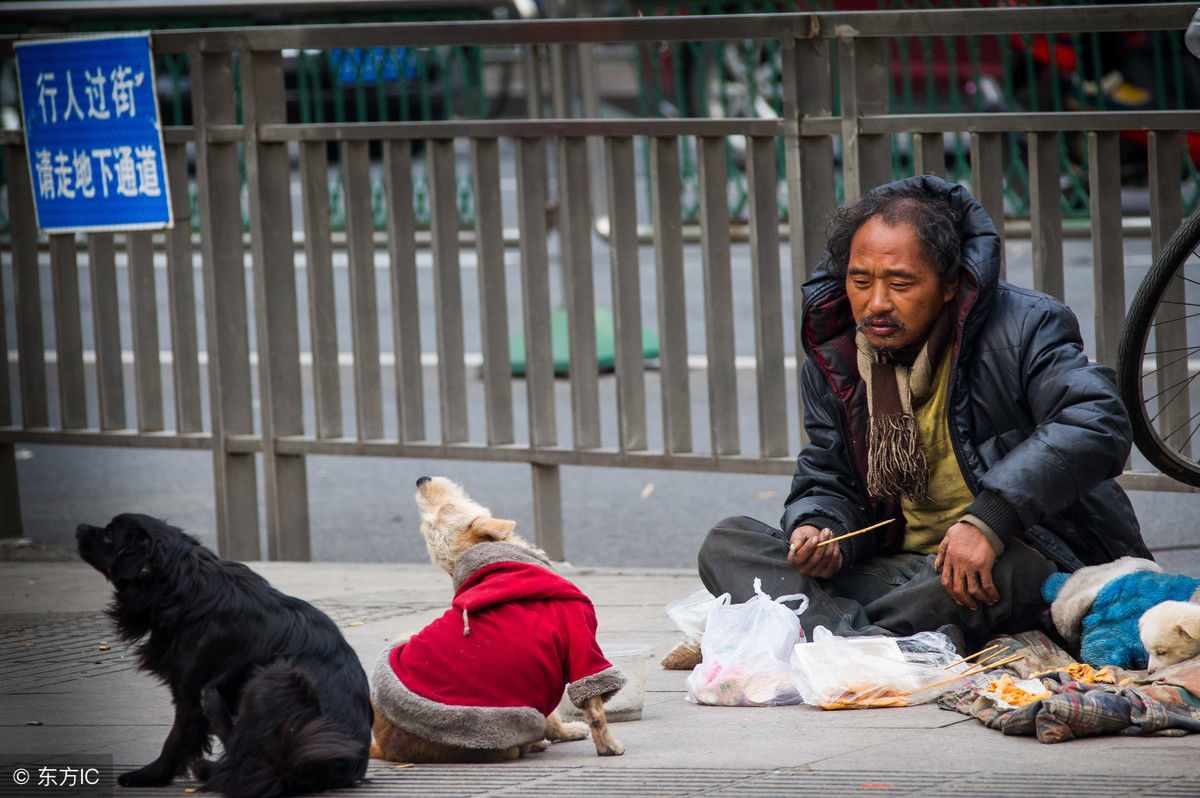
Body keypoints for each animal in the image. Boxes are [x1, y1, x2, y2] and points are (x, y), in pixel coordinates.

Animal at [75, 513, 369, 792]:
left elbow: (176, 741)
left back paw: (214, 715)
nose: (79, 528)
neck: (184, 587)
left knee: (248, 757)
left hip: (276, 676)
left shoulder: (189, 694)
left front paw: (150, 775)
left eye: (109, 533)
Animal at [369, 472, 624, 758]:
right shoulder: (580, 642)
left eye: (444, 509)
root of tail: (384, 747)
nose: (421, 479)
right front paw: (607, 746)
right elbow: (594, 706)